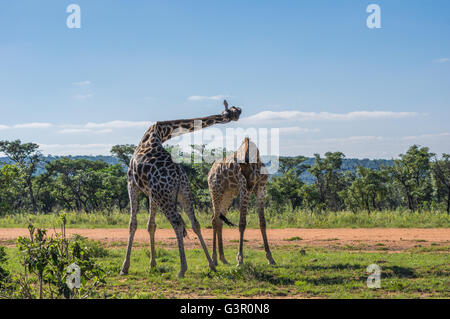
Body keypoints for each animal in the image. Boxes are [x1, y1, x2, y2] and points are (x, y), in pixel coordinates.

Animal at [118, 100, 241, 278]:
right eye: (231, 111)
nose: (238, 113)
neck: (159, 132)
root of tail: (177, 176)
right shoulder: (150, 192)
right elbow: (151, 225)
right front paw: (152, 265)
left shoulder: (131, 183)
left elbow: (133, 224)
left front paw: (125, 267)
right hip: (182, 192)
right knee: (195, 223)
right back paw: (211, 265)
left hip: (164, 196)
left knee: (177, 222)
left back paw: (183, 269)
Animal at [207, 138, 274, 268]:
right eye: (241, 171)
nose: (250, 186)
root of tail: (210, 171)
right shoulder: (244, 190)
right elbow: (242, 223)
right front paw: (240, 259)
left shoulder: (261, 189)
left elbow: (262, 223)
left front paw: (270, 258)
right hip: (216, 190)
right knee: (214, 219)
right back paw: (214, 259)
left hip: (228, 195)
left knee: (219, 220)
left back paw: (223, 259)